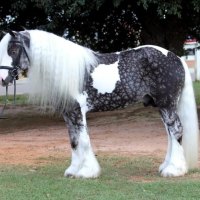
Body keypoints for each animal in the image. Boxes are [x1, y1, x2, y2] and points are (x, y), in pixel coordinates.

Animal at [0, 29, 198, 178]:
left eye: (13, 50)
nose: (2, 79)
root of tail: (176, 58)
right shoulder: (68, 113)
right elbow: (74, 141)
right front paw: (72, 170)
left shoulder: (78, 111)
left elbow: (84, 140)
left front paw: (87, 172)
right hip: (161, 106)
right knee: (170, 134)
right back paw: (166, 166)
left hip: (167, 104)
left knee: (176, 130)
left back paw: (174, 170)